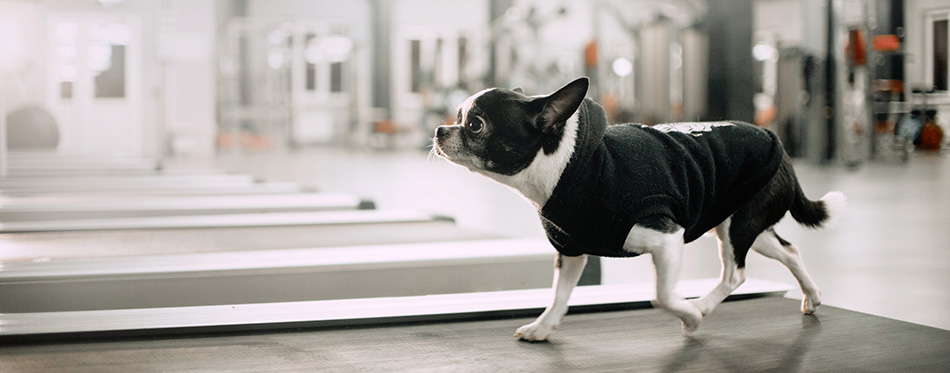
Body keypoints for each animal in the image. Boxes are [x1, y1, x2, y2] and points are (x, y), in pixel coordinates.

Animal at [434, 76, 848, 340]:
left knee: (735, 275)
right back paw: (813, 295)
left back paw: (702, 307)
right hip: (746, 225)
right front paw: (544, 327)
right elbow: (559, 295)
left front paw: (690, 315)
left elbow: (660, 295)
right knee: (789, 250)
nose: (440, 130)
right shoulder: (571, 251)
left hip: (739, 227)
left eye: (475, 124)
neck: (566, 166)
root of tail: (779, 146)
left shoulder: (666, 238)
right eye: (457, 117)